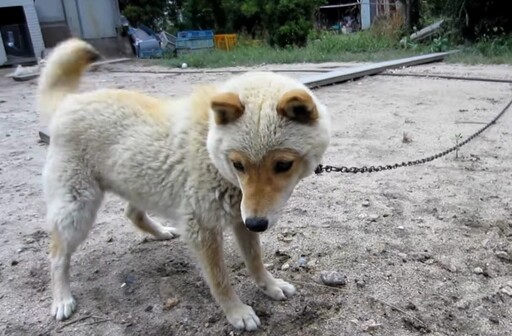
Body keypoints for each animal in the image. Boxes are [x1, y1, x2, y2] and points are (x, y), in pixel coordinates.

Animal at [37, 38, 332, 332]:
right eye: (238, 165)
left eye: (283, 165)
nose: (257, 223)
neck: (210, 148)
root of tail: (68, 101)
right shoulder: (203, 230)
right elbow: (220, 280)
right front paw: (236, 312)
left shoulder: (241, 219)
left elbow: (255, 261)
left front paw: (270, 286)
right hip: (77, 208)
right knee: (57, 256)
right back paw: (62, 299)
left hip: (138, 185)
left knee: (132, 213)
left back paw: (161, 232)